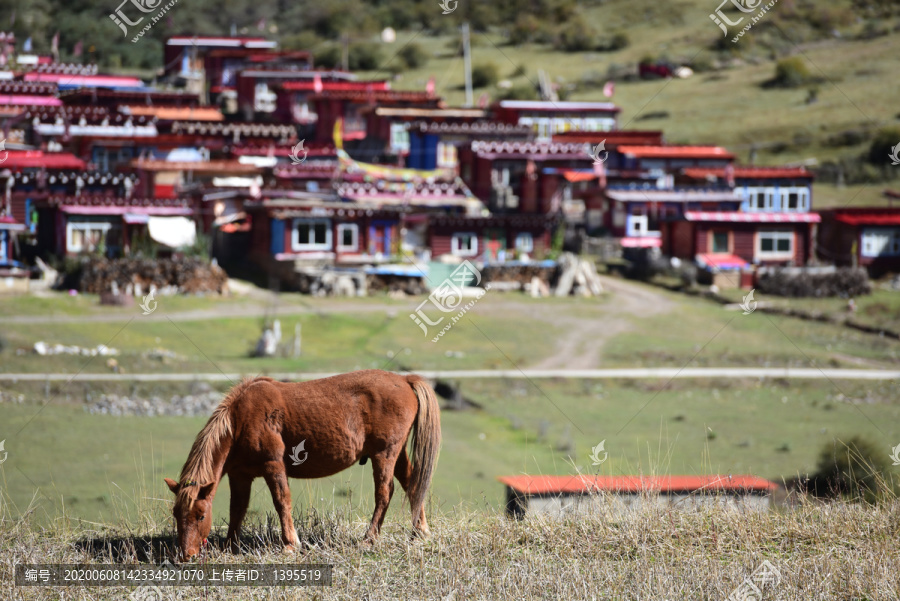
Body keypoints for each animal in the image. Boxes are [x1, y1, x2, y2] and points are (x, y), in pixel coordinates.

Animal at [166, 368, 442, 560]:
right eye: (176, 514)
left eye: (201, 516)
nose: (186, 555)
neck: (240, 421)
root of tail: (404, 379)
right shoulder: (240, 476)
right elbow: (238, 509)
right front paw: (230, 545)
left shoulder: (273, 465)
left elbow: (281, 501)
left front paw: (290, 544)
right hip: (397, 453)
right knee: (412, 484)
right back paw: (420, 531)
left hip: (385, 453)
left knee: (385, 492)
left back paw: (370, 538)